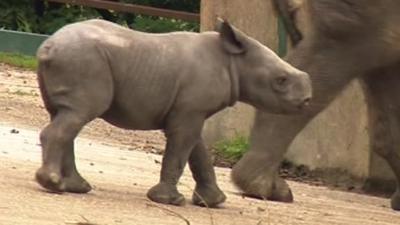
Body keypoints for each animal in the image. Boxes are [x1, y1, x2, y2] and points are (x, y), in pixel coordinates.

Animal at [34, 19, 310, 207]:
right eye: (281, 80)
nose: (308, 99)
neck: (233, 61)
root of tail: (47, 46)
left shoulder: (192, 110)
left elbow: (198, 153)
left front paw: (214, 202)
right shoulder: (189, 112)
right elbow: (180, 151)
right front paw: (169, 201)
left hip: (75, 60)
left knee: (66, 115)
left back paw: (76, 187)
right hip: (84, 61)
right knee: (78, 115)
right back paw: (54, 185)